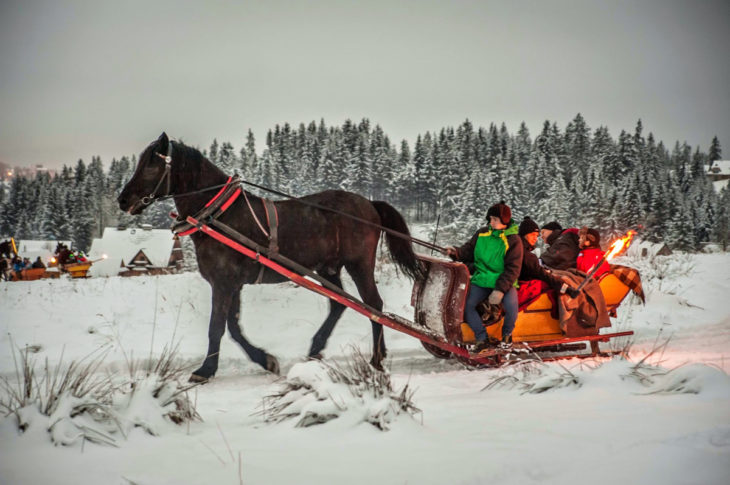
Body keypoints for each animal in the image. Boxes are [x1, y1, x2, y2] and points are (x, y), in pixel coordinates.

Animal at [118, 132, 420, 382]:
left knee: (374, 306)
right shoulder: (233, 284)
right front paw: (266, 360)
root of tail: (369, 204)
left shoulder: (223, 282)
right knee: (340, 305)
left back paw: (377, 359)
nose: (122, 200)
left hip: (358, 264)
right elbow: (233, 327)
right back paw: (318, 349)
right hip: (328, 268)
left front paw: (205, 370)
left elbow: (217, 327)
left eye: (151, 164)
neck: (219, 214)